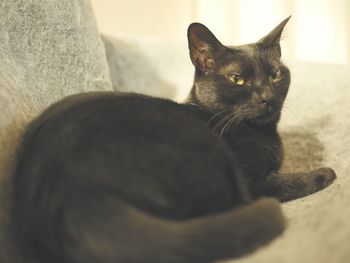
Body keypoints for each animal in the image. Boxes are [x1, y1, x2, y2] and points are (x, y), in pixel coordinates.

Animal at [10, 17, 334, 263]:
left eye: (276, 74)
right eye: (237, 79)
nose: (267, 97)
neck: (263, 134)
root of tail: (75, 197)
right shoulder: (252, 181)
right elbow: (281, 182)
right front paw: (323, 173)